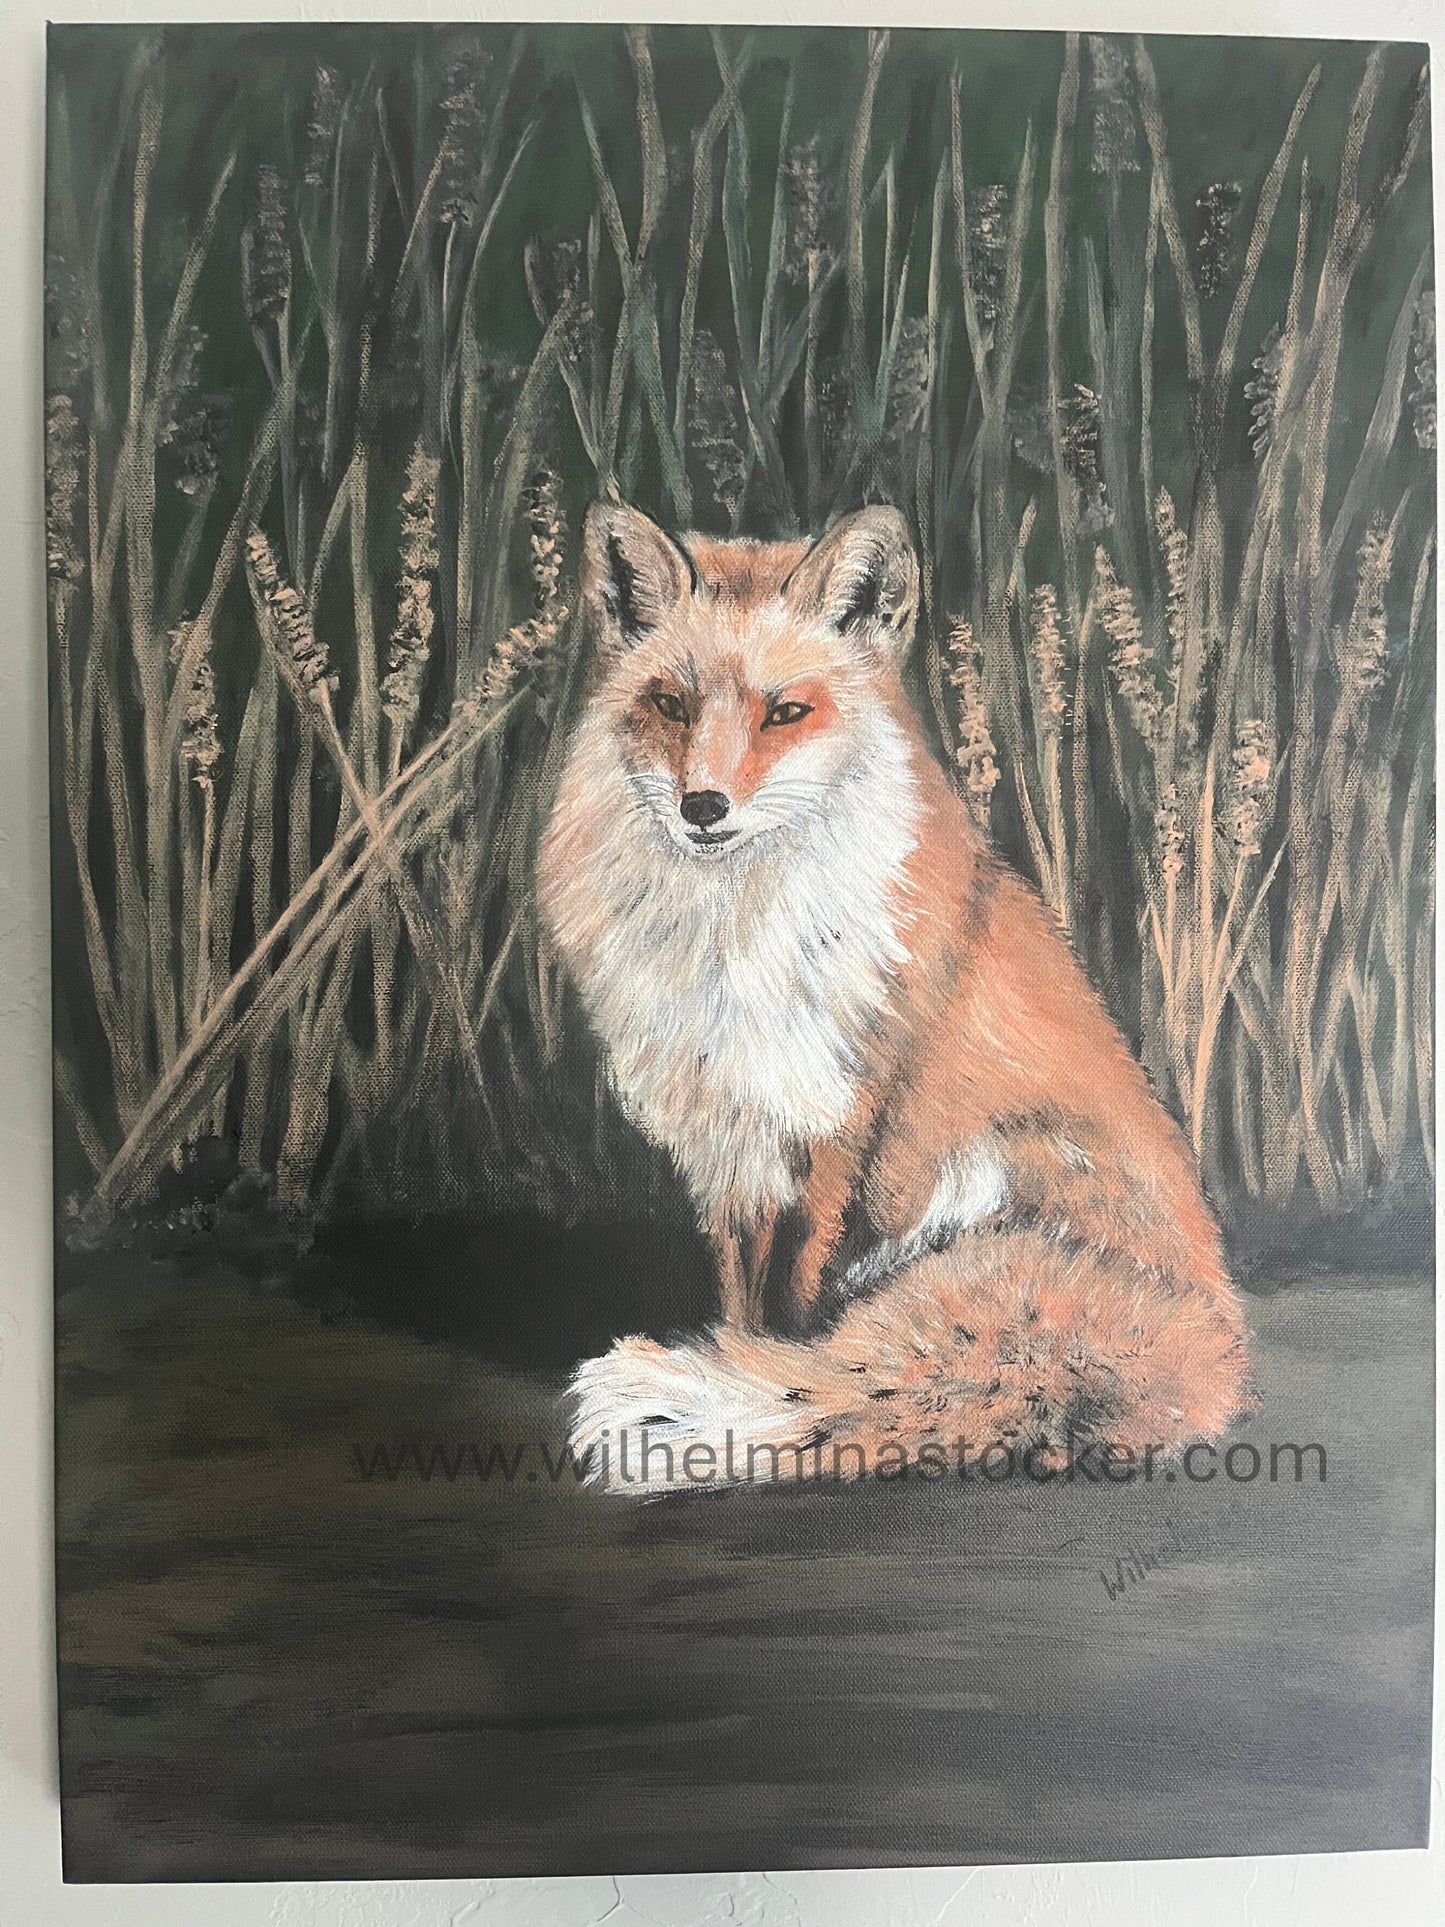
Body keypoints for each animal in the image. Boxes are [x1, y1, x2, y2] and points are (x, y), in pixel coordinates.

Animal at [537, 501, 1249, 1490]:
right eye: (670, 704)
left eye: (784, 712)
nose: (702, 806)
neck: (732, 944)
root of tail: (1202, 1341)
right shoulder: (726, 1145)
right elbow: (739, 1301)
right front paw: (729, 1353)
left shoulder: (836, 1122)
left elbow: (795, 1305)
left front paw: (752, 1370)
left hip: (995, 1168)